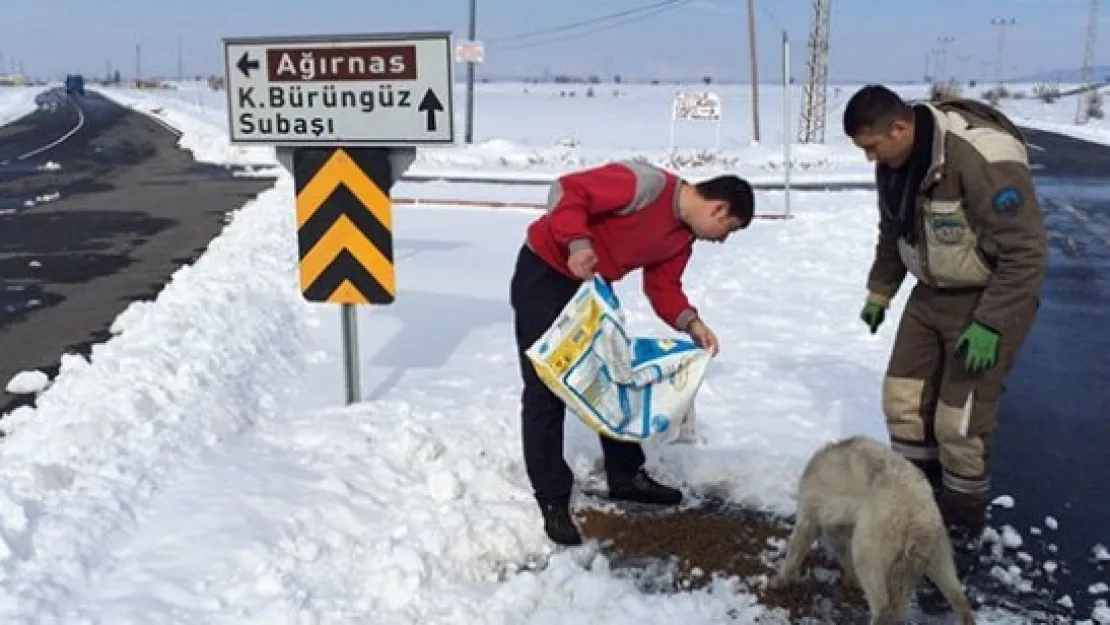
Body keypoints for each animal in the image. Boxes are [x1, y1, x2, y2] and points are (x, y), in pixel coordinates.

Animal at [772, 435, 972, 625]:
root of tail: (916, 517)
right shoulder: (841, 530)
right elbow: (844, 557)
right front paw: (850, 581)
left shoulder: (809, 517)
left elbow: (794, 553)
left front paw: (779, 581)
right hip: (940, 558)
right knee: (960, 600)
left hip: (868, 556)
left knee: (884, 609)